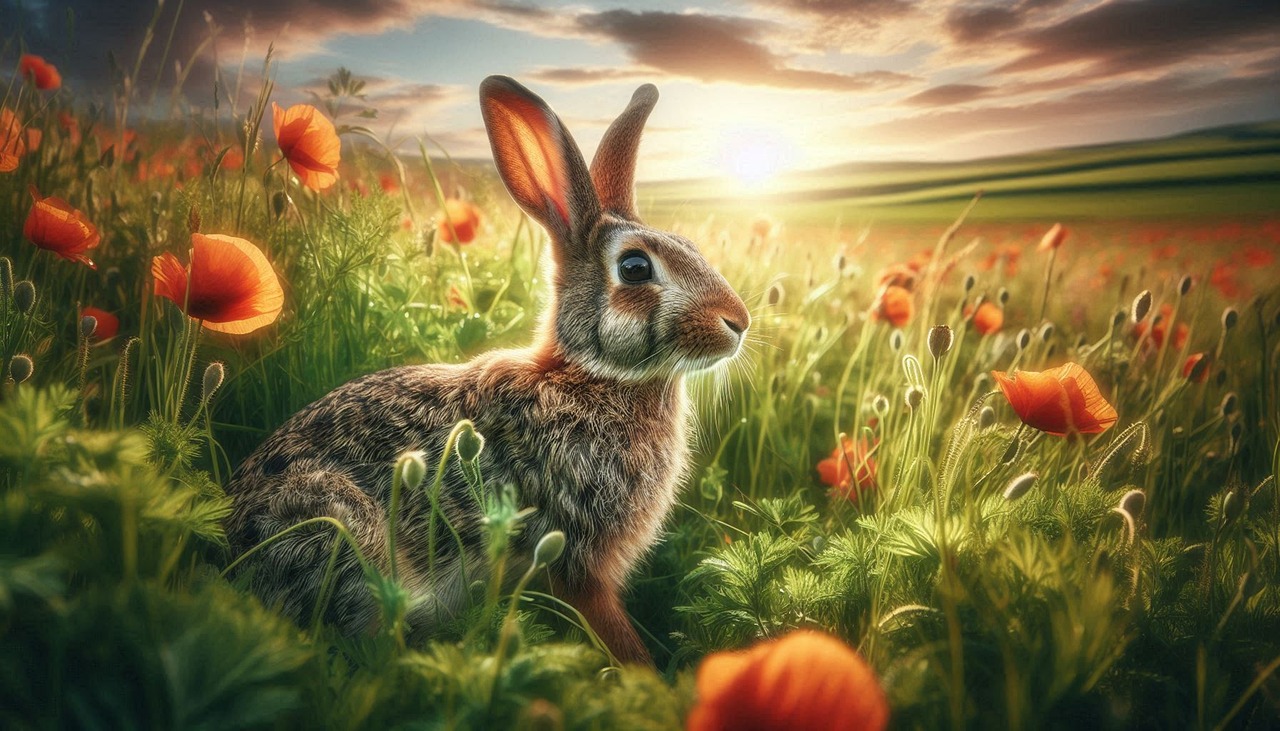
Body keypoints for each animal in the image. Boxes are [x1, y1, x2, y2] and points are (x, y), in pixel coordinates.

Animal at [224, 76, 750, 666]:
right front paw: (644, 673)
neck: (593, 376)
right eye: (635, 267)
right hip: (337, 529)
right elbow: (607, 624)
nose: (738, 322)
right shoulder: (577, 559)